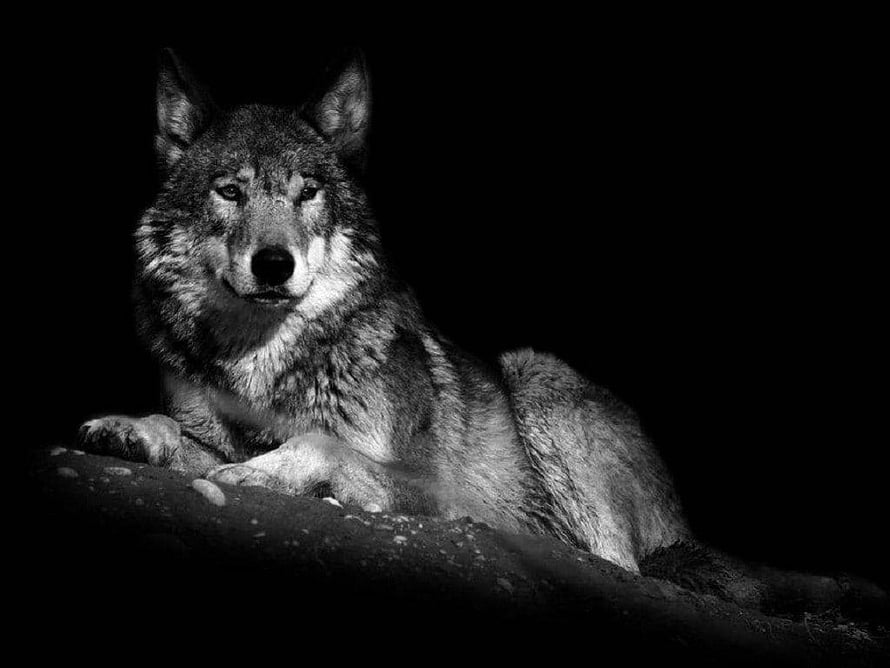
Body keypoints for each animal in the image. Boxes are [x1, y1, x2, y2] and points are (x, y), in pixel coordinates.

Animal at [76, 51, 885, 620]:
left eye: (308, 193)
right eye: (230, 192)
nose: (274, 265)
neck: (266, 363)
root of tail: (683, 525)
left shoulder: (430, 483)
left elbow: (320, 444)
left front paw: (274, 474)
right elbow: (184, 439)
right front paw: (131, 428)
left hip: (535, 376)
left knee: (611, 564)